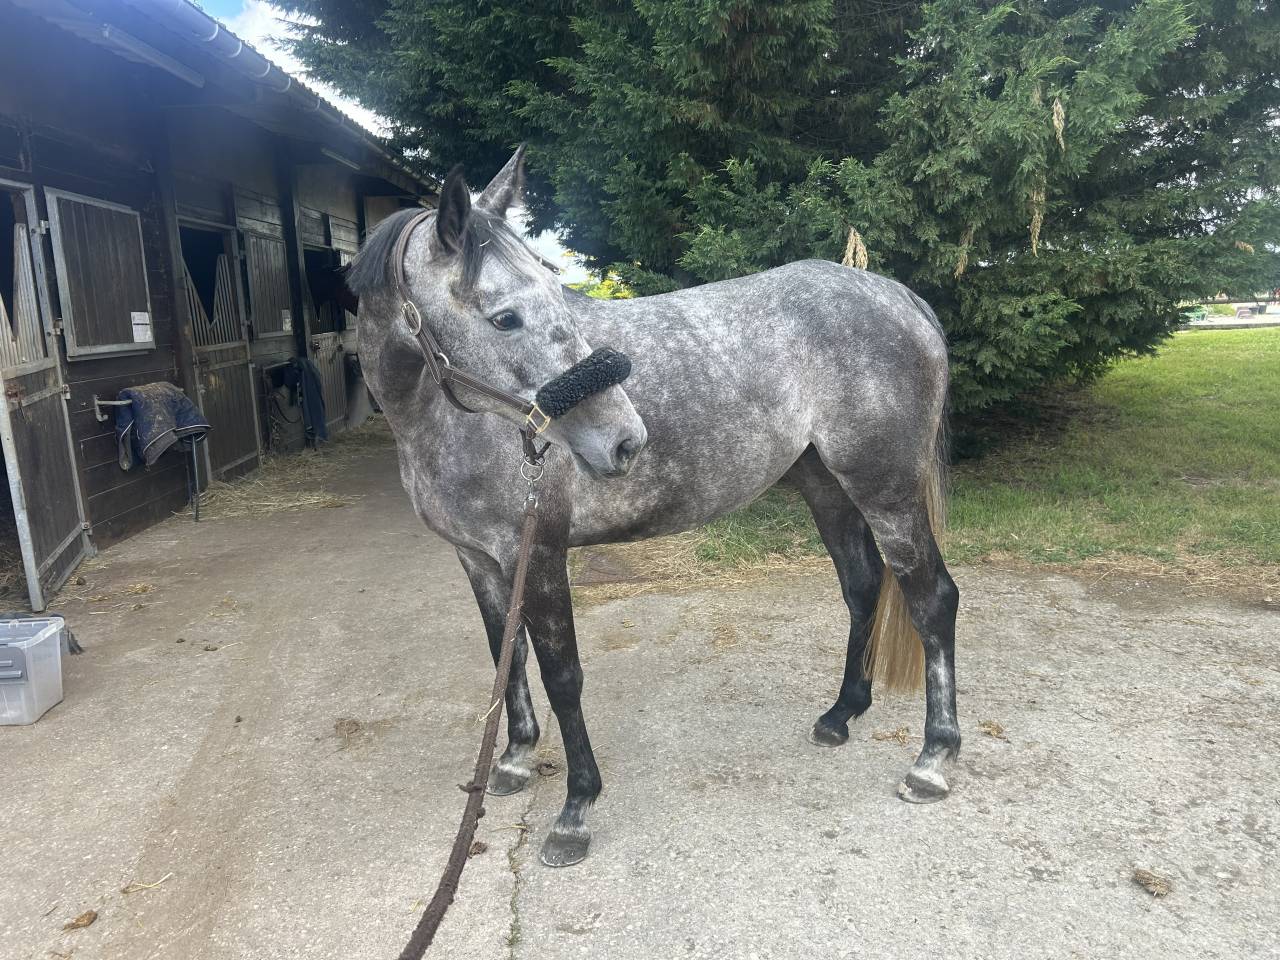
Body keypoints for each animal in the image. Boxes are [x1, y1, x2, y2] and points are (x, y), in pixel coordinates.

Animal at [348, 147, 959, 868]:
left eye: (557, 292)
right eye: (504, 317)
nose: (624, 439)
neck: (443, 422)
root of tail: (899, 297)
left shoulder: (540, 552)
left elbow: (563, 674)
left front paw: (575, 811)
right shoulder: (480, 560)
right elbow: (507, 654)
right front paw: (516, 758)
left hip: (885, 489)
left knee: (932, 599)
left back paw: (933, 760)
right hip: (826, 486)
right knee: (864, 587)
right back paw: (841, 716)